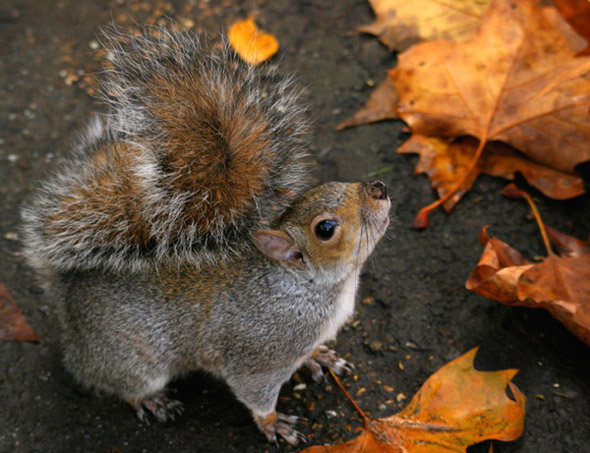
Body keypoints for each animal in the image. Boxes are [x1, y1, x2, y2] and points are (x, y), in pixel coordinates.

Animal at [20, 27, 394, 444]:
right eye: (325, 229)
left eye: (330, 184)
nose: (379, 188)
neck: (311, 287)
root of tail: (67, 292)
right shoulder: (258, 355)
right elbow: (255, 394)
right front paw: (272, 423)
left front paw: (318, 357)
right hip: (130, 360)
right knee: (117, 384)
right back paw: (151, 401)